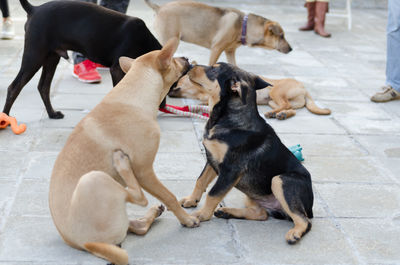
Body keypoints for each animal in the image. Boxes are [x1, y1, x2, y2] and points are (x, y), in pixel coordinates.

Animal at [2, 0, 162, 118]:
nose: (162, 107)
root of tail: (34, 9)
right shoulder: (116, 69)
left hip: (51, 58)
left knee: (43, 87)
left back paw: (52, 114)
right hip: (34, 57)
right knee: (14, 87)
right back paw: (5, 118)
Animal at [48, 38, 200, 264]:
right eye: (173, 59)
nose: (187, 58)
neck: (134, 94)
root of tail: (87, 244)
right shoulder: (145, 171)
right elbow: (170, 196)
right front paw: (187, 219)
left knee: (139, 226)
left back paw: (152, 212)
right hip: (93, 178)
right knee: (139, 198)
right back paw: (122, 165)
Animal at [145, 0, 292, 65]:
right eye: (281, 36)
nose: (291, 49)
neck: (243, 26)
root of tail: (159, 7)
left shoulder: (230, 51)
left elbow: (234, 66)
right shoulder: (216, 48)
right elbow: (210, 66)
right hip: (171, 40)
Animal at [169, 63, 332, 119]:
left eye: (177, 81)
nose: (169, 89)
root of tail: (304, 88)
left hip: (275, 92)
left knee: (286, 104)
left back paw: (275, 114)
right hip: (273, 101)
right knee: (290, 108)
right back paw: (280, 114)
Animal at [177, 62, 314, 243]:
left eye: (214, 70)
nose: (190, 65)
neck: (227, 118)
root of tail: (311, 207)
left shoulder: (231, 170)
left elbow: (214, 193)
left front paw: (200, 215)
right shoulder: (212, 159)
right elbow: (200, 181)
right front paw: (191, 200)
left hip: (280, 180)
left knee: (303, 219)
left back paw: (295, 233)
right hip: (253, 194)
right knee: (261, 214)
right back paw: (226, 212)